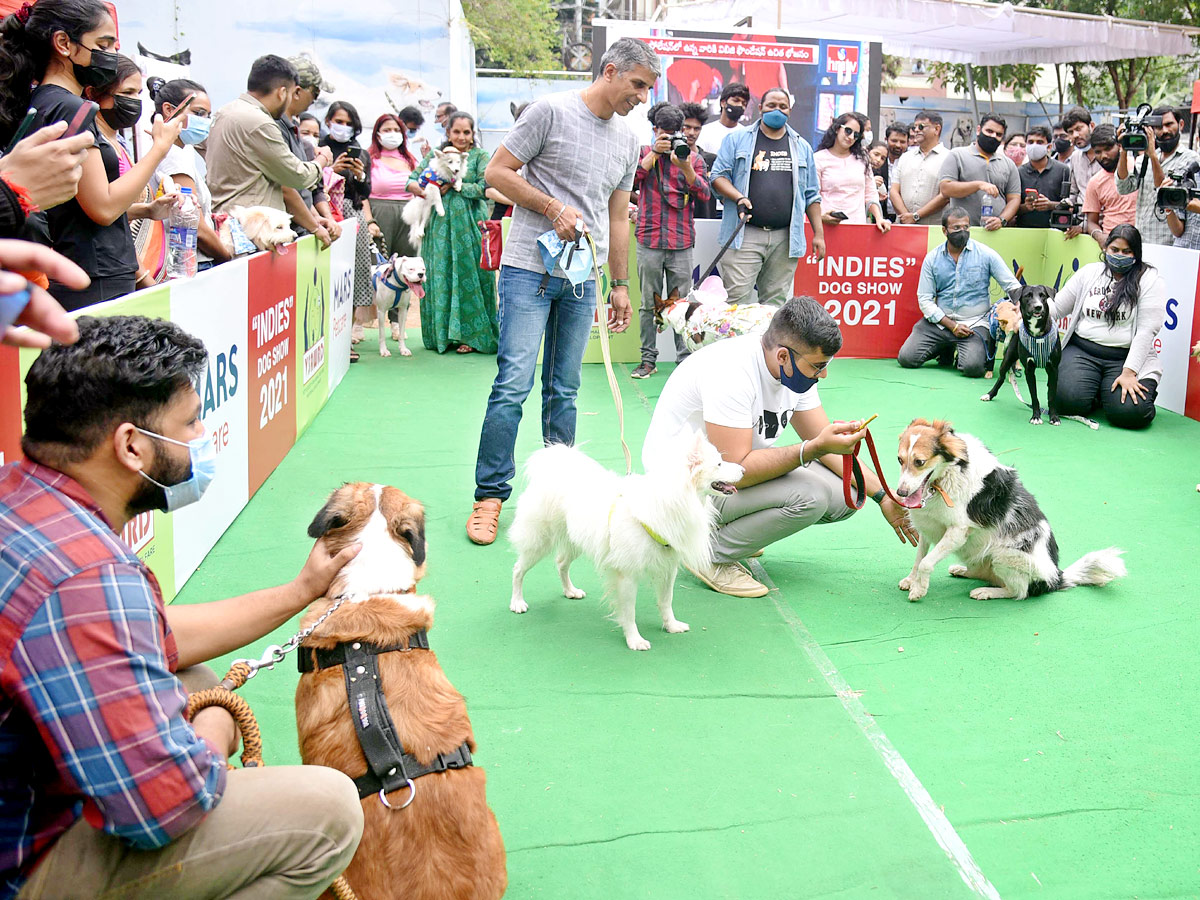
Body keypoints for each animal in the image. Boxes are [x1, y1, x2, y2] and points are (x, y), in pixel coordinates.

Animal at [506, 434, 739, 652]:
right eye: (719, 464)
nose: (743, 469)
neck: (669, 503)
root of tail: (555, 467)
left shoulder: (667, 568)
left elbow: (666, 601)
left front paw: (671, 626)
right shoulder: (627, 574)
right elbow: (629, 612)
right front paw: (634, 640)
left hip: (576, 541)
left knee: (561, 563)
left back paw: (570, 591)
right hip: (539, 542)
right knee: (518, 569)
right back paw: (517, 602)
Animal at [892, 420, 1123, 602]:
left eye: (920, 462)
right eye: (900, 460)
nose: (900, 493)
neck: (948, 474)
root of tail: (1056, 577)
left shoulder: (957, 531)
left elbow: (926, 563)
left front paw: (919, 590)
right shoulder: (928, 527)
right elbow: (919, 559)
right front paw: (911, 581)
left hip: (1003, 554)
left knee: (1018, 591)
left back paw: (986, 592)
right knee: (985, 574)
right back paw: (963, 571)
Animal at [984, 285, 1060, 427]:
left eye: (1043, 295)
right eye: (1027, 296)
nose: (1038, 306)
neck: (1038, 335)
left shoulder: (1054, 369)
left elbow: (1052, 395)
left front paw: (1054, 417)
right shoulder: (1029, 370)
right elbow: (1034, 396)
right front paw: (1036, 416)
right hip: (1007, 359)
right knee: (1001, 377)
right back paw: (989, 394)